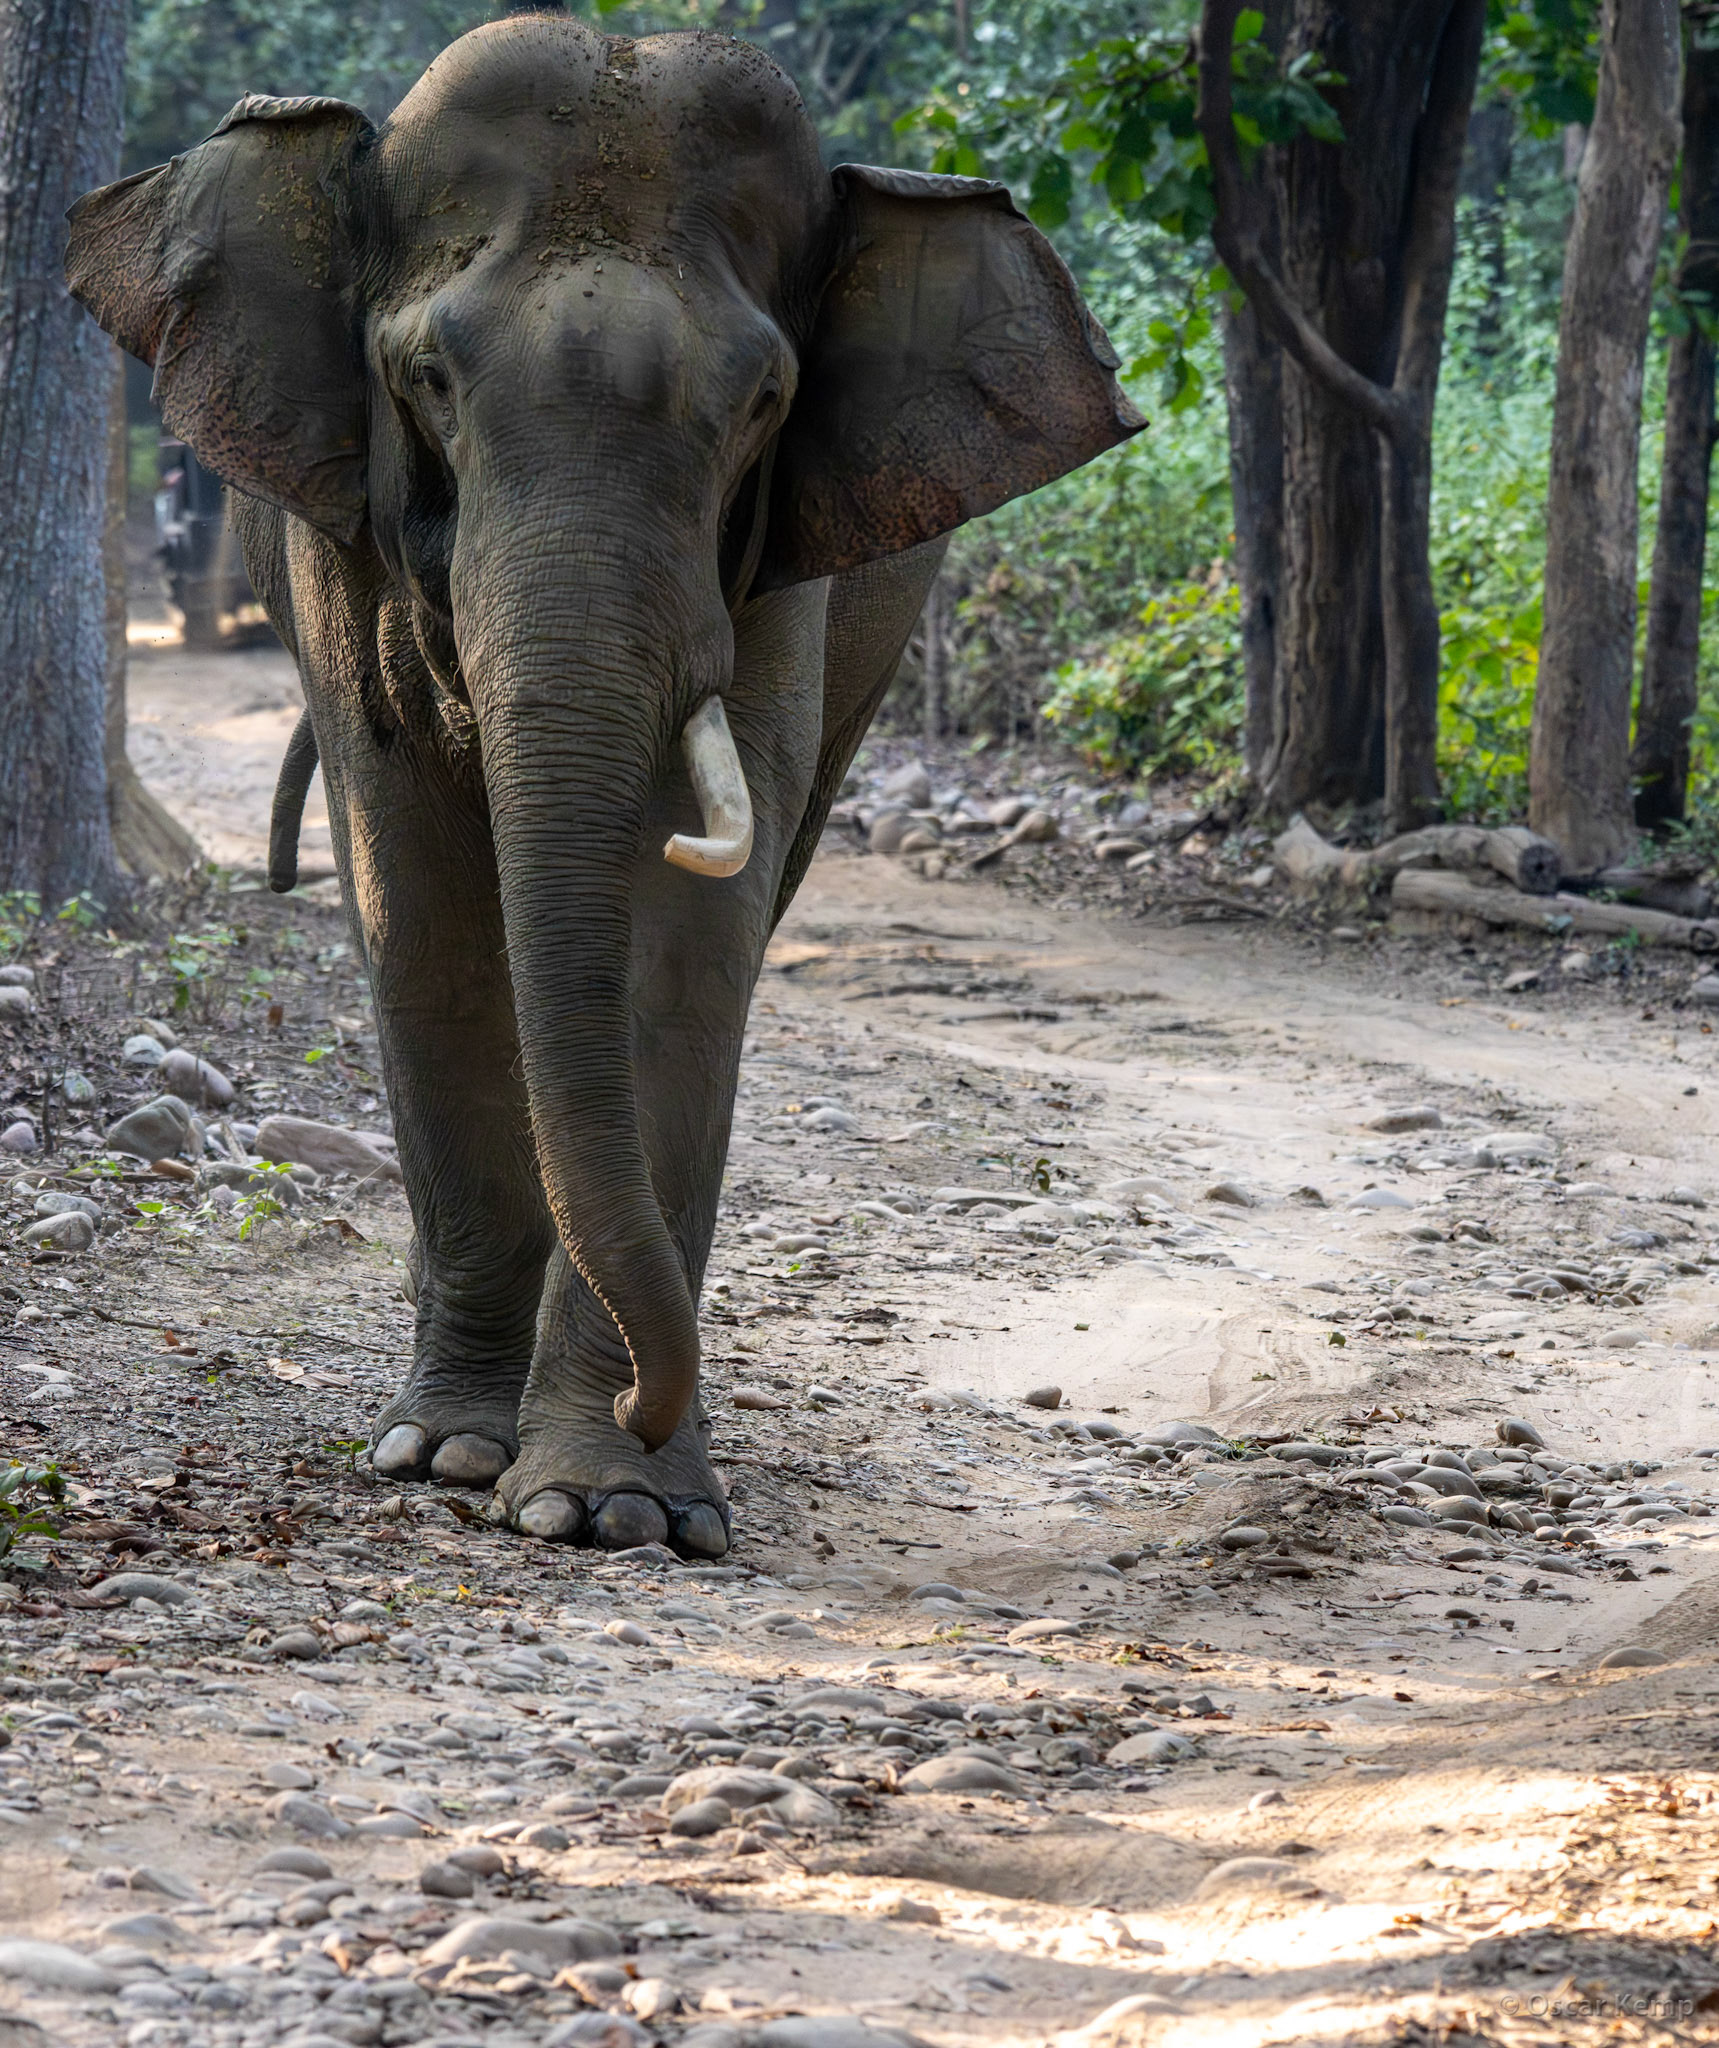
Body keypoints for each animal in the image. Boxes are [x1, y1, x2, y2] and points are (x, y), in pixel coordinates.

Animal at [66, 14, 1141, 1556]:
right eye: (428, 381)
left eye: (763, 401)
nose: (645, 1398)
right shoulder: (342, 546)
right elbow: (421, 913)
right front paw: (449, 1452)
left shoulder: (776, 567)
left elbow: (684, 943)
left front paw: (615, 1502)